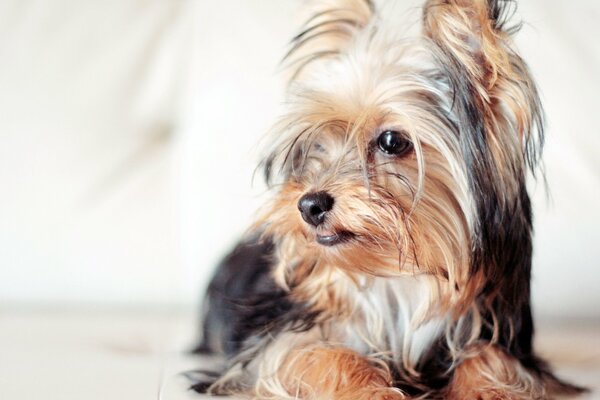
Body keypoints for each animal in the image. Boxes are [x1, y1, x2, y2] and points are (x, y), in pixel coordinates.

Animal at [191, 1, 584, 398]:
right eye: (319, 144)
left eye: (392, 141)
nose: (308, 205)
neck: (401, 279)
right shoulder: (270, 343)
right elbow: (323, 355)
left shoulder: (497, 334)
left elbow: (490, 357)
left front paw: (490, 389)